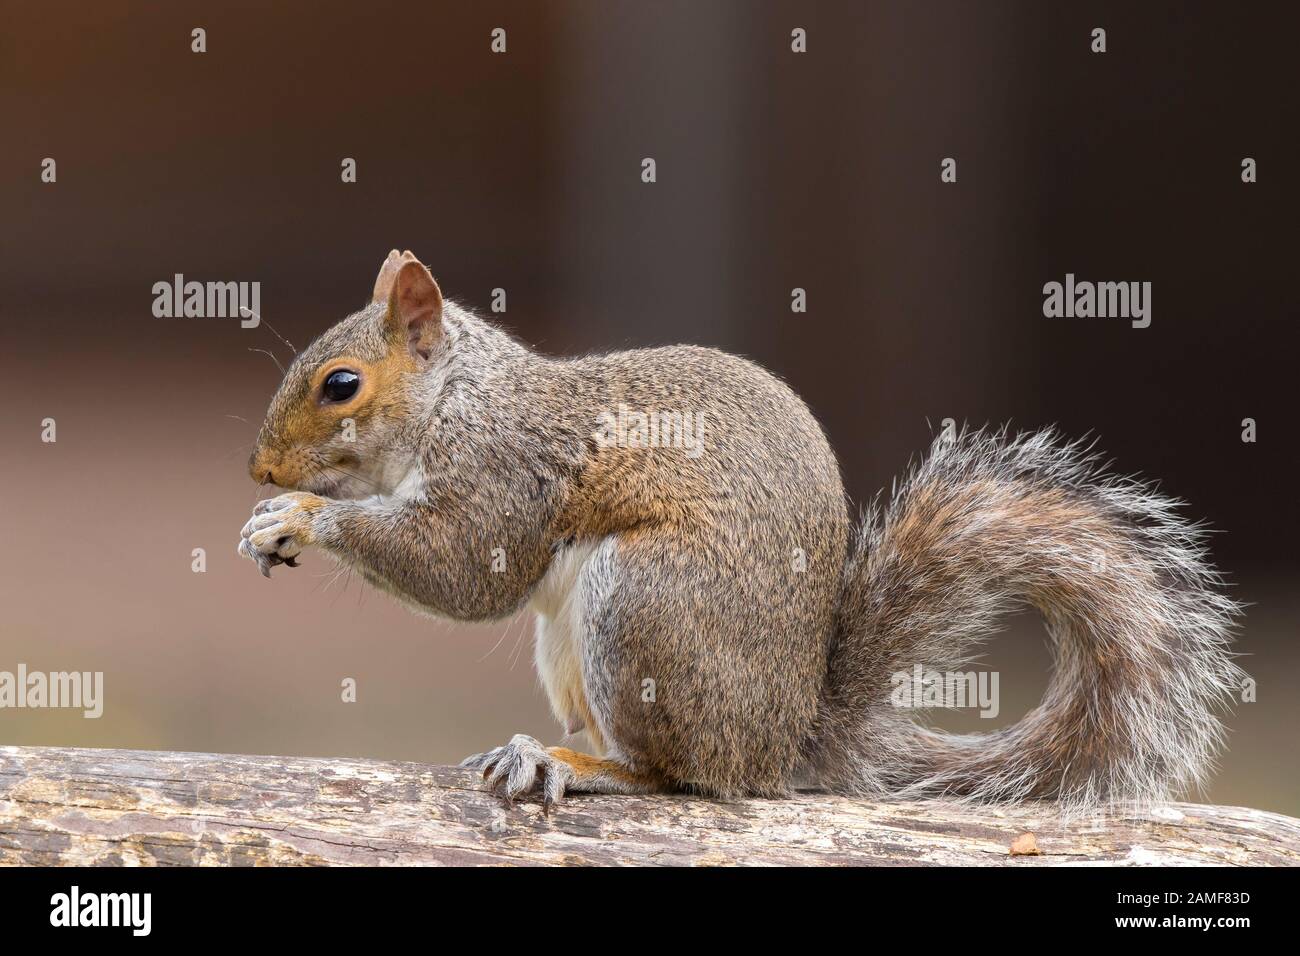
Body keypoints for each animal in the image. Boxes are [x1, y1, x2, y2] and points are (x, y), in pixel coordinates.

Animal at [239, 249, 1242, 811]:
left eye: (341, 385)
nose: (261, 471)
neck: (458, 398)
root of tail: (784, 738)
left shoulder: (505, 474)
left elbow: (461, 571)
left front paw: (304, 517)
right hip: (575, 642)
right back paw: (539, 749)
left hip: (645, 604)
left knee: (680, 775)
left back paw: (580, 767)